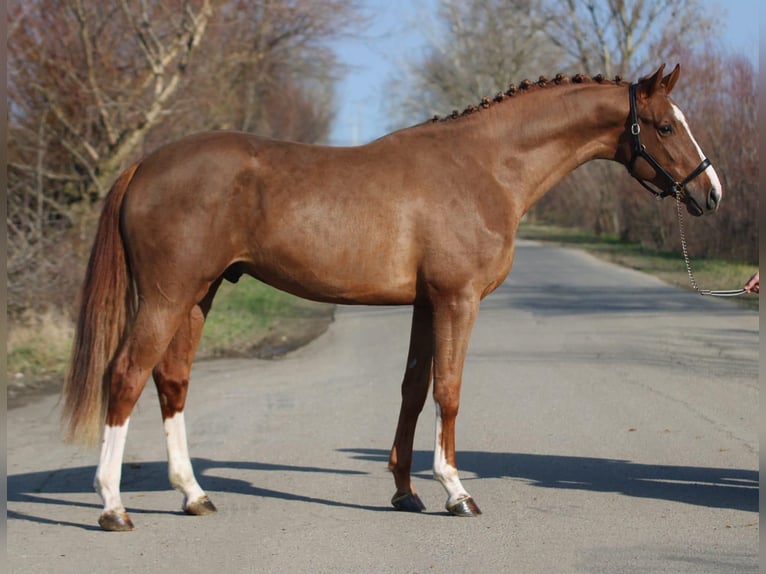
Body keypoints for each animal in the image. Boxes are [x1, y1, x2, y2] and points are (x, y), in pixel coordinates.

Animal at [62, 64, 722, 531]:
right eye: (666, 126)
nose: (711, 192)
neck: (484, 166)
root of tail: (145, 164)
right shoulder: (458, 300)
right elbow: (448, 392)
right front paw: (455, 492)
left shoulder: (427, 304)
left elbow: (412, 390)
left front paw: (405, 492)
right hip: (168, 297)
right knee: (125, 375)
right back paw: (113, 506)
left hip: (199, 296)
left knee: (171, 381)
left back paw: (194, 495)